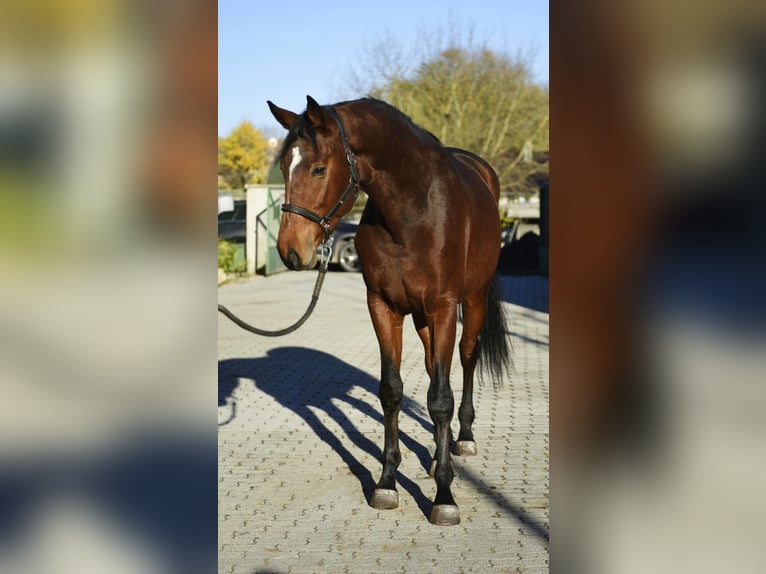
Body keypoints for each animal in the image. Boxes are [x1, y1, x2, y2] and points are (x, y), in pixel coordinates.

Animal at [267, 95, 511, 526]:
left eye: (318, 168)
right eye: (283, 167)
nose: (291, 250)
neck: (411, 214)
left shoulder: (444, 306)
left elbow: (441, 399)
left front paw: (444, 496)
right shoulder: (383, 306)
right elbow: (392, 393)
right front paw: (386, 482)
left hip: (472, 300)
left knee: (467, 358)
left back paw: (462, 440)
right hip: (423, 318)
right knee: (433, 367)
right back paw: (437, 452)